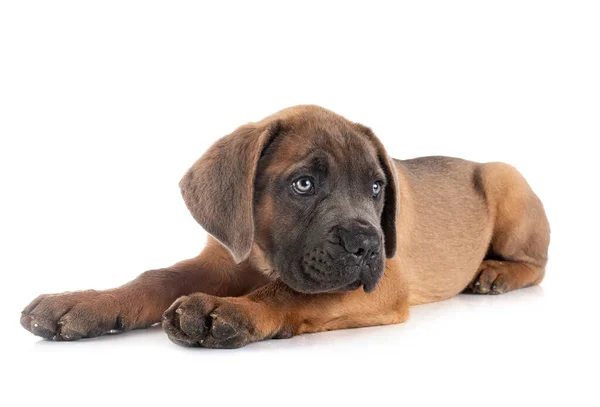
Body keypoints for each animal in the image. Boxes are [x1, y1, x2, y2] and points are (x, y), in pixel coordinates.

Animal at [21, 104, 552, 348]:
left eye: (377, 188)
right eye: (303, 184)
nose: (368, 246)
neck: (263, 254)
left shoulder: (380, 284)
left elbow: (291, 291)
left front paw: (226, 310)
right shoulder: (221, 258)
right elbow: (158, 277)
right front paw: (84, 303)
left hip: (505, 178)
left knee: (538, 263)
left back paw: (495, 273)